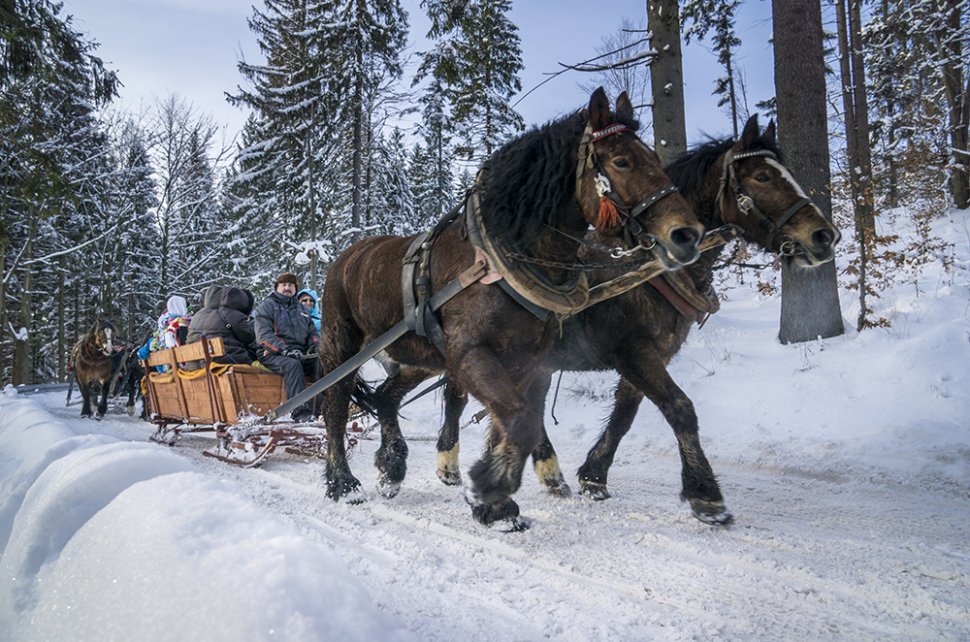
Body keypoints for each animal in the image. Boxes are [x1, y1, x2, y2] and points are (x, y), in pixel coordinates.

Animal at [320, 87, 704, 524]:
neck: (500, 259)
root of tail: (347, 253)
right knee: (334, 407)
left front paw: (494, 500)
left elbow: (516, 422)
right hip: (340, 345)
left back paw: (392, 466)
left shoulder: (528, 361)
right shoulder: (471, 354)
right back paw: (342, 483)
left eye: (655, 158)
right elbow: (519, 422)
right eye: (622, 161)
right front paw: (491, 490)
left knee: (386, 396)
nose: (687, 234)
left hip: (420, 356)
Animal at [432, 115, 840, 524]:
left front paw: (594, 475)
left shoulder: (650, 356)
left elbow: (625, 415)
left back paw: (550, 474)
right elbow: (680, 409)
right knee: (459, 395)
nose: (824, 235)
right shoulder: (633, 353)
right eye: (761, 176)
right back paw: (449, 465)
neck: (652, 270)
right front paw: (706, 495)